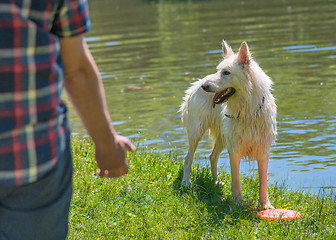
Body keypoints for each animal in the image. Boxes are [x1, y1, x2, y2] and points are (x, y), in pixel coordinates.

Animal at [180, 40, 276, 209]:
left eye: (226, 73)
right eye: (218, 71)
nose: (205, 86)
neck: (248, 110)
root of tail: (196, 84)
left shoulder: (263, 151)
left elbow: (263, 182)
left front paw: (265, 205)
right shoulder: (234, 150)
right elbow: (236, 180)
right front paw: (238, 203)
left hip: (222, 138)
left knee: (212, 157)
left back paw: (217, 182)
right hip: (196, 133)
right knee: (188, 159)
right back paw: (186, 183)